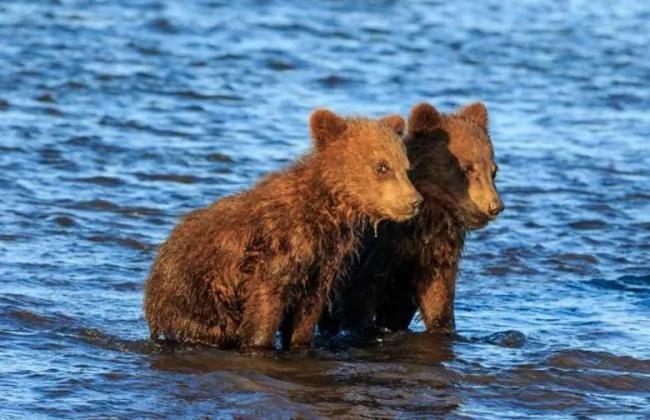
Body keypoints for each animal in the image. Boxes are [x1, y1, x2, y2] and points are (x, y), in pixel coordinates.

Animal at [143, 108, 423, 351]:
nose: (415, 201)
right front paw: (260, 344)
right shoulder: (277, 252)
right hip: (197, 296)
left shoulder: (323, 263)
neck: (328, 209)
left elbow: (307, 313)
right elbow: (265, 305)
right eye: (382, 166)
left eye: (406, 167)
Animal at [319, 101, 504, 337]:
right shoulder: (375, 253)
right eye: (467, 168)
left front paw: (443, 327)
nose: (495, 207)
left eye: (493, 170)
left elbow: (437, 296)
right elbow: (359, 295)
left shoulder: (434, 253)